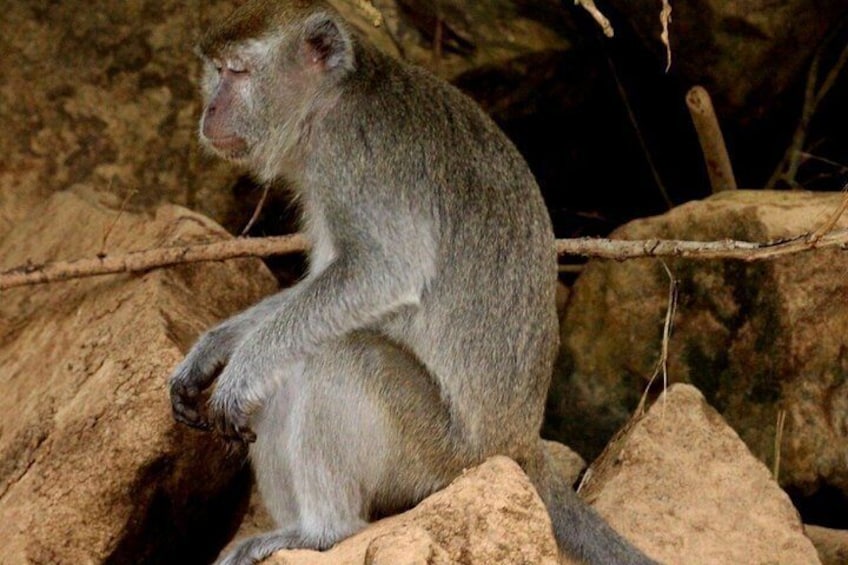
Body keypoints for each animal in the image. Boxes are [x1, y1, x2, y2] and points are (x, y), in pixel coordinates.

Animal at [169, 1, 656, 564]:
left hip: (440, 457)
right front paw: (216, 347)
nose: (210, 111)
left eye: (237, 72)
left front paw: (243, 367)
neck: (335, 95)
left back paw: (320, 531)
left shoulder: (350, 155)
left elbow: (381, 272)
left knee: (339, 354)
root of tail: (518, 444)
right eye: (215, 71)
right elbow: (325, 284)